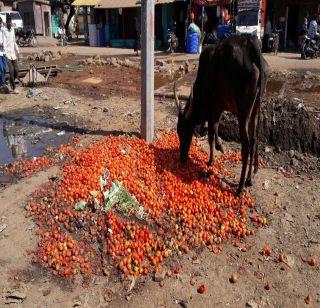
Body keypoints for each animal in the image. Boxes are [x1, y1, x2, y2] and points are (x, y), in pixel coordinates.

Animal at [174, 33, 268, 194]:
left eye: (184, 131)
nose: (183, 159)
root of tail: (251, 43)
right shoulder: (219, 108)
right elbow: (216, 129)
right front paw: (219, 148)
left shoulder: (212, 107)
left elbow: (211, 134)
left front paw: (211, 160)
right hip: (255, 109)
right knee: (254, 140)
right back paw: (249, 179)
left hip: (243, 113)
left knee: (246, 146)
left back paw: (240, 187)